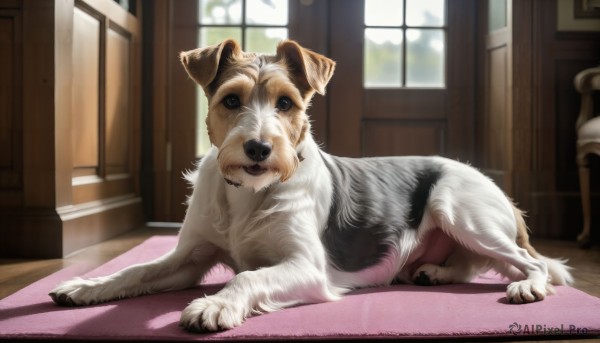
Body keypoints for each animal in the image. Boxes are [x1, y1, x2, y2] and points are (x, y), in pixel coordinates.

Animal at [49, 39, 576, 334]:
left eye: (286, 103)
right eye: (231, 100)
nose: (259, 148)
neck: (247, 192)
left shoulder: (306, 267)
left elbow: (246, 277)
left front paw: (215, 305)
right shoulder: (189, 257)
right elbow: (135, 270)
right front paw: (85, 285)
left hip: (458, 208)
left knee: (531, 262)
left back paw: (528, 286)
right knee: (468, 264)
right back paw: (433, 273)